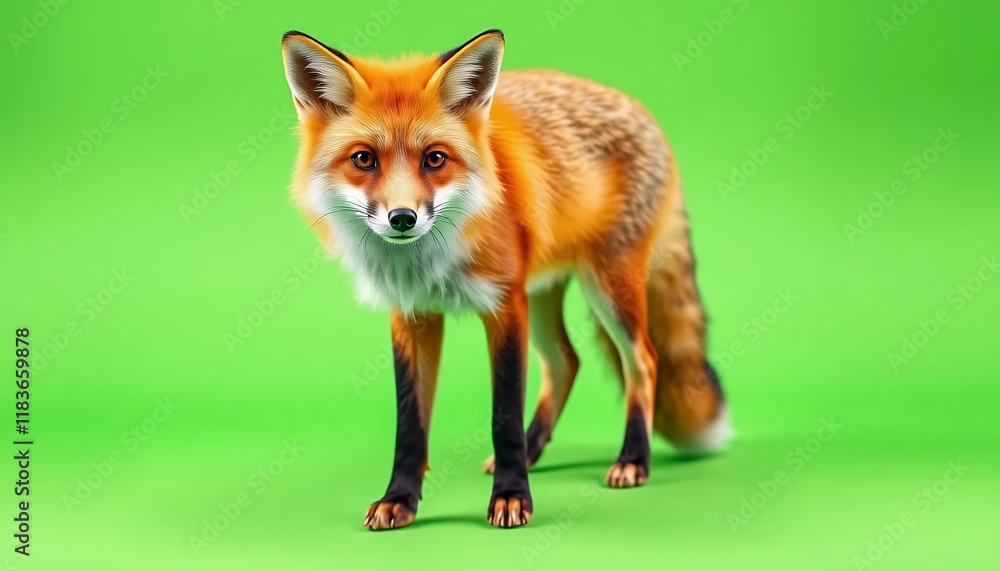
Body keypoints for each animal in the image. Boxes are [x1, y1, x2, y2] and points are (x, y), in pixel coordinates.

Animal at [280, 28, 732, 530]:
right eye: (363, 159)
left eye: (435, 159)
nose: (403, 219)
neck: (429, 261)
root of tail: (640, 108)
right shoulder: (413, 315)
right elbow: (410, 425)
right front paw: (400, 499)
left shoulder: (504, 306)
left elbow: (505, 415)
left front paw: (513, 496)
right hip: (542, 293)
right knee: (566, 361)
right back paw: (537, 450)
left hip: (608, 288)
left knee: (644, 362)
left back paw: (633, 458)